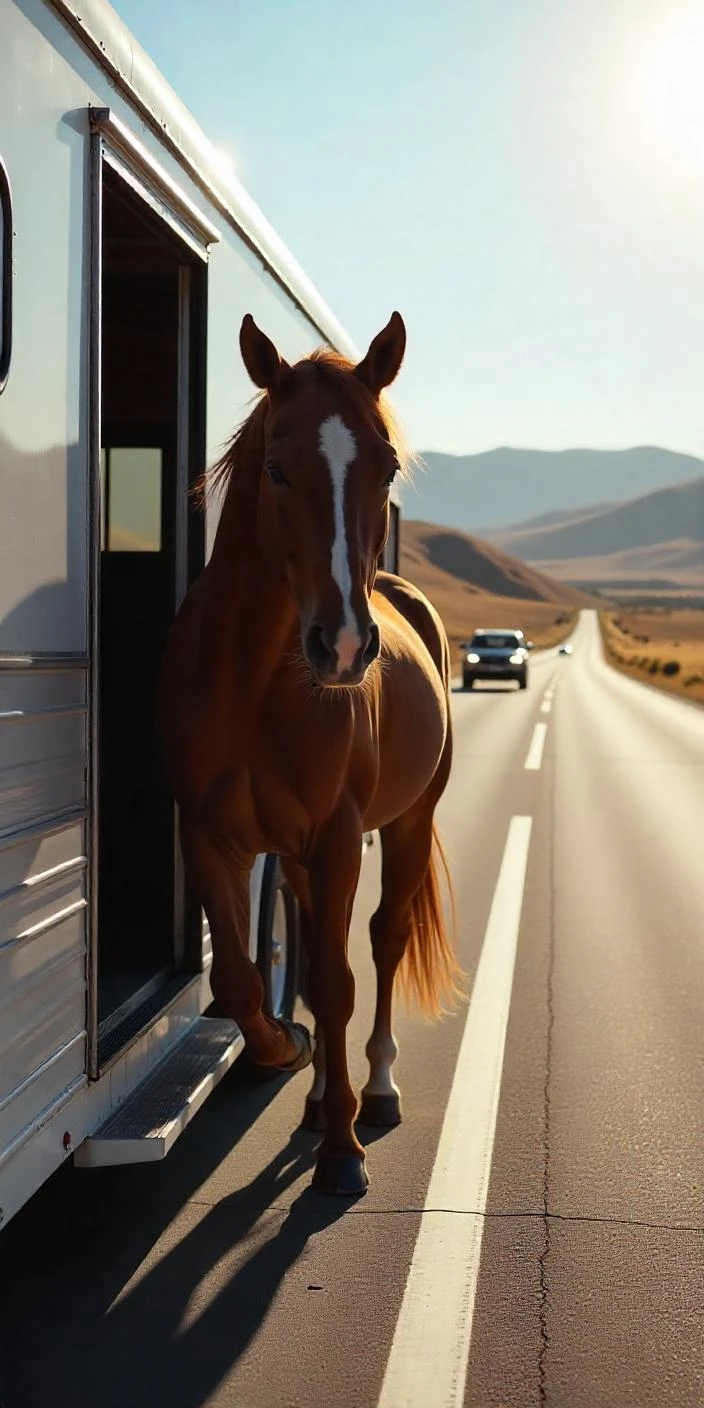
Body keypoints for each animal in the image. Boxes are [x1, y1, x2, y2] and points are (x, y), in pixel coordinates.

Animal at [158, 311, 459, 1196]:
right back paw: (323, 1097)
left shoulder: (337, 837)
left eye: (386, 467)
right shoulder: (209, 835)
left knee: (384, 941)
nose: (345, 646)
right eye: (276, 469)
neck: (255, 678)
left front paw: (343, 1151)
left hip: (405, 823)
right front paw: (285, 1055)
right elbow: (241, 980)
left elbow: (333, 981)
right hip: (294, 855)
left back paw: (377, 1091)